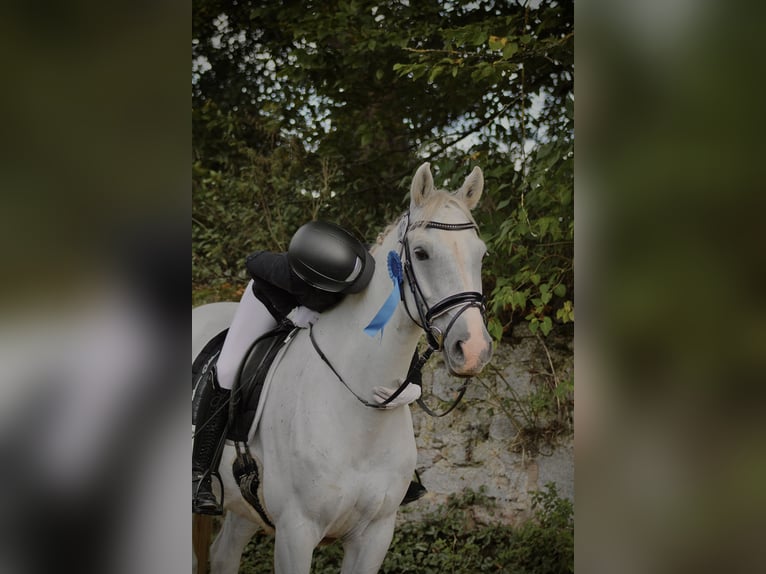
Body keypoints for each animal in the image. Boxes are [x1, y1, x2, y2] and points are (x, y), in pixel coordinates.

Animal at [192, 162, 493, 574]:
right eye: (421, 253)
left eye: (481, 254)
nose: (474, 348)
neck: (359, 410)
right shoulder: (296, 533)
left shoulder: (374, 536)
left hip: (244, 510)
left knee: (223, 554)